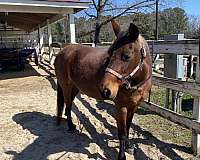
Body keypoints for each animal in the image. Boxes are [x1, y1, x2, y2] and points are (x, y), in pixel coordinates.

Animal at [54, 20, 152, 160]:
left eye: (126, 56)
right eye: (109, 55)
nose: (105, 90)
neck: (136, 84)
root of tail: (62, 51)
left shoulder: (133, 106)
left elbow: (128, 127)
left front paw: (129, 146)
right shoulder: (120, 107)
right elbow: (122, 132)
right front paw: (121, 156)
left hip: (75, 88)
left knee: (69, 106)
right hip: (66, 87)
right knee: (67, 106)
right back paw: (71, 127)